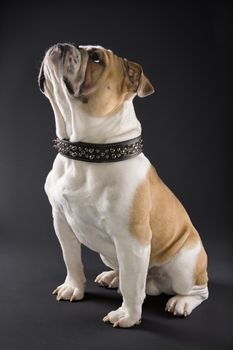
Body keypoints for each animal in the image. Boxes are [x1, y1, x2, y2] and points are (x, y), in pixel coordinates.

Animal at [38, 43, 209, 328]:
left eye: (96, 58)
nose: (60, 45)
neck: (87, 155)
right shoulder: (61, 222)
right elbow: (71, 260)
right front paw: (73, 287)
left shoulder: (131, 239)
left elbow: (131, 285)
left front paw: (127, 316)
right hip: (111, 254)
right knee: (126, 271)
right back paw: (112, 276)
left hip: (184, 266)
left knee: (197, 290)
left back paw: (181, 302)